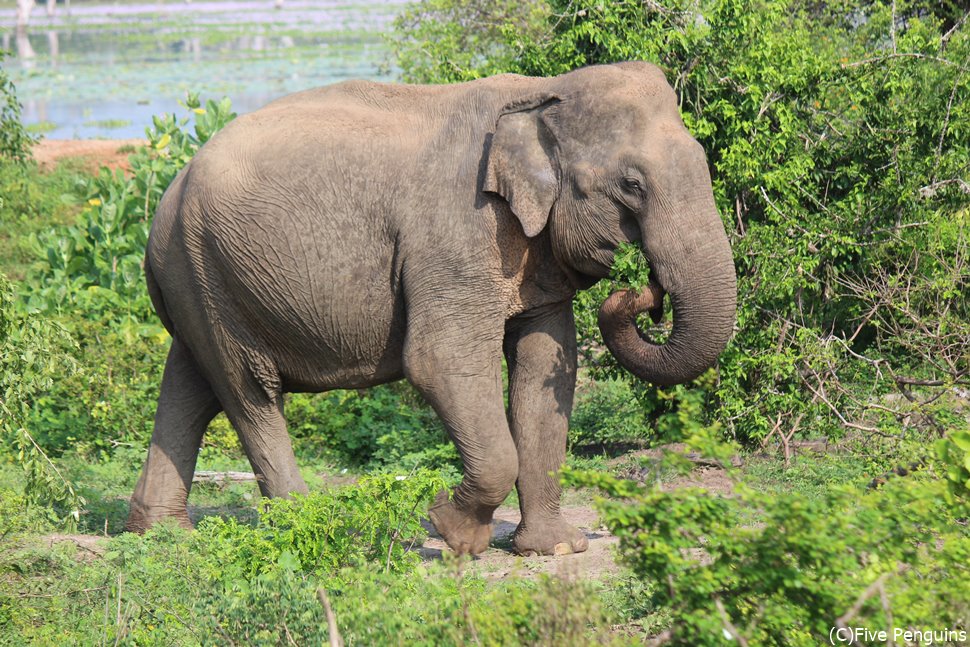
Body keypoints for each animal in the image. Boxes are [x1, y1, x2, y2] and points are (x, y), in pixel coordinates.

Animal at [126, 62, 732, 556]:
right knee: (249, 392)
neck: (541, 92)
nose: (645, 291)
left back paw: (161, 535)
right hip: (208, 267)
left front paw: (555, 549)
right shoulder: (456, 233)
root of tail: (168, 193)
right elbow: (442, 360)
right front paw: (451, 531)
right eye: (632, 185)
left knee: (191, 383)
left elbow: (545, 368)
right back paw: (313, 528)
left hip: (199, 278)